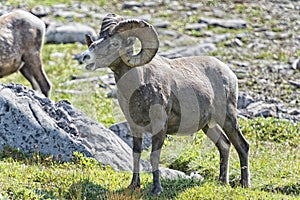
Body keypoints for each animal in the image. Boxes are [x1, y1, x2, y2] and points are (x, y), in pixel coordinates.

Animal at [81, 14, 250, 195]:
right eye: (98, 38)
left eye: (114, 44)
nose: (85, 57)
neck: (138, 86)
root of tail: (229, 74)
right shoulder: (135, 127)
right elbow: (136, 154)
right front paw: (134, 185)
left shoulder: (159, 126)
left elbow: (154, 156)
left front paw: (156, 189)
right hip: (208, 125)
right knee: (224, 145)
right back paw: (223, 182)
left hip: (227, 117)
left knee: (242, 146)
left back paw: (244, 184)